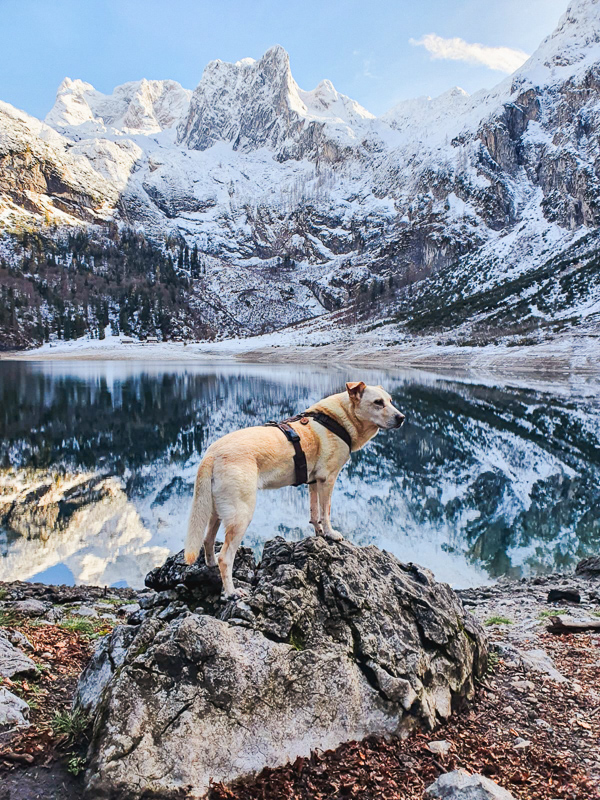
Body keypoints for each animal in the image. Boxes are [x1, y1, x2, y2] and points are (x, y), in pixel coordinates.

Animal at [185, 384, 406, 596]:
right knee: (226, 557)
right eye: (378, 402)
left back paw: (211, 564)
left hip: (216, 511)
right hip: (241, 514)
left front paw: (318, 533)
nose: (402, 418)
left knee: (207, 540)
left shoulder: (314, 482)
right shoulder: (328, 479)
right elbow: (326, 512)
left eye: (390, 401)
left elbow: (314, 512)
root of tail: (211, 454)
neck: (341, 418)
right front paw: (331, 534)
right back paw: (232, 592)